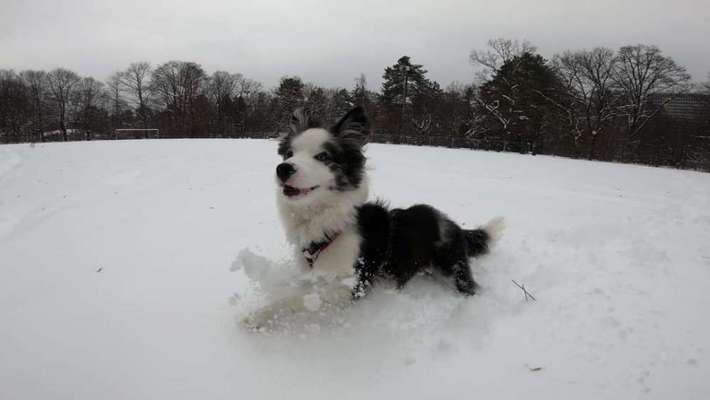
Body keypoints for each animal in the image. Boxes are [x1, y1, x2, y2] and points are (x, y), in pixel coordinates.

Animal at [245, 107, 506, 328]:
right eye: (289, 154)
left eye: (323, 156)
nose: (283, 169)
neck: (328, 220)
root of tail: (453, 225)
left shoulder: (352, 285)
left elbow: (299, 299)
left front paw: (257, 315)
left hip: (453, 270)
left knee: (470, 287)